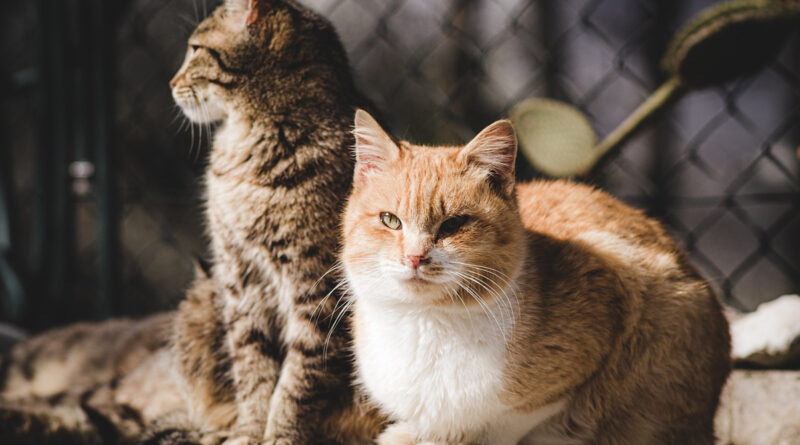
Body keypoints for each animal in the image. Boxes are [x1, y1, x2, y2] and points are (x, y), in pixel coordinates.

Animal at [170, 1, 382, 442]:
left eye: (195, 49)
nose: (170, 82)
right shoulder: (239, 279)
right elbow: (252, 369)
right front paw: (250, 431)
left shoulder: (317, 291)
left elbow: (298, 381)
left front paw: (280, 434)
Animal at [340, 108, 728, 444]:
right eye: (390, 220)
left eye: (453, 225)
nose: (414, 257)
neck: (427, 322)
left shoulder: (611, 303)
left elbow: (505, 423)